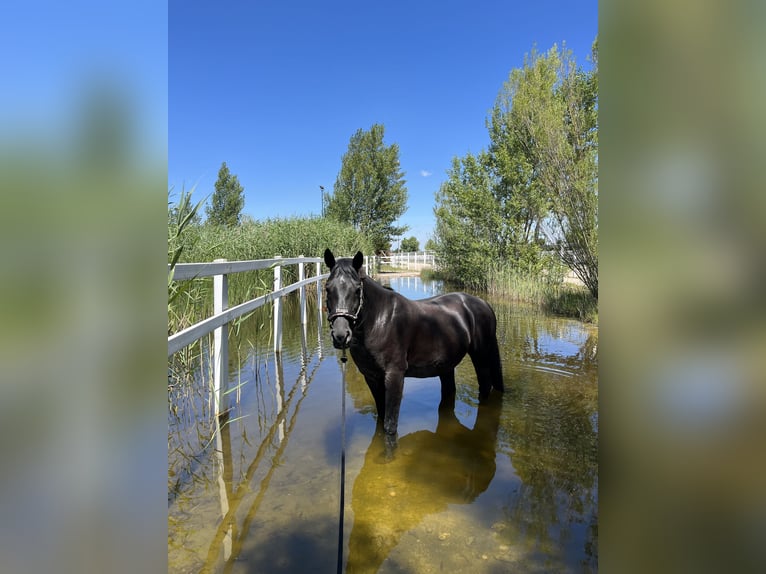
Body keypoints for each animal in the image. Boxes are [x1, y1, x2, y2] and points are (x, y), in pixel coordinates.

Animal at [323, 249, 504, 437]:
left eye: (357, 289)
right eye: (327, 288)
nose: (340, 335)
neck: (380, 321)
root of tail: (482, 303)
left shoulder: (395, 376)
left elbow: (390, 426)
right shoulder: (371, 377)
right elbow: (381, 418)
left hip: (480, 356)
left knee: (485, 385)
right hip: (446, 365)